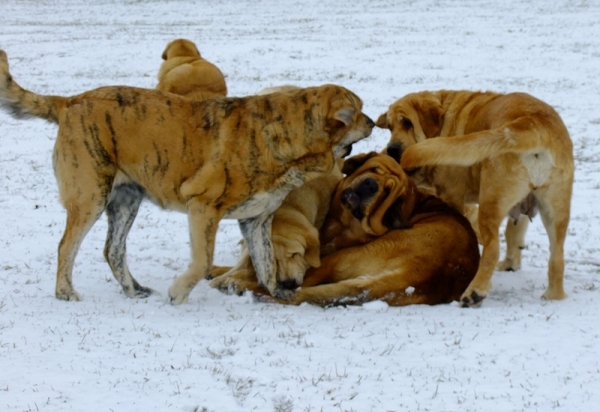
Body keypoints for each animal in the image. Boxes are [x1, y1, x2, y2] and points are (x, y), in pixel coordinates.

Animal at [0, 50, 376, 304]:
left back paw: (134, 289)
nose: (373, 121)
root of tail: (69, 102)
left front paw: (278, 292)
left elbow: (266, 262)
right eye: (358, 111)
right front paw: (178, 293)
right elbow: (202, 261)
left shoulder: (256, 221)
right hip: (90, 197)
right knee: (67, 246)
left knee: (113, 250)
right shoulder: (203, 207)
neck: (286, 139)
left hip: (126, 200)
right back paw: (65, 291)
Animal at [210, 151, 478, 306]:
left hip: (340, 258)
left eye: (388, 191)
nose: (371, 185)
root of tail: (422, 277)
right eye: (373, 170)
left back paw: (236, 284)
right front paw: (217, 269)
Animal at [378, 89, 576, 306]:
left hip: (490, 203)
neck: (445, 121)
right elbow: (514, 233)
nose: (392, 149)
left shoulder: (452, 195)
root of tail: (533, 121)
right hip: (556, 211)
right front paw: (511, 263)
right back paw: (554, 295)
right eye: (389, 127)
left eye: (407, 123)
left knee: (492, 249)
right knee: (557, 256)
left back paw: (474, 292)